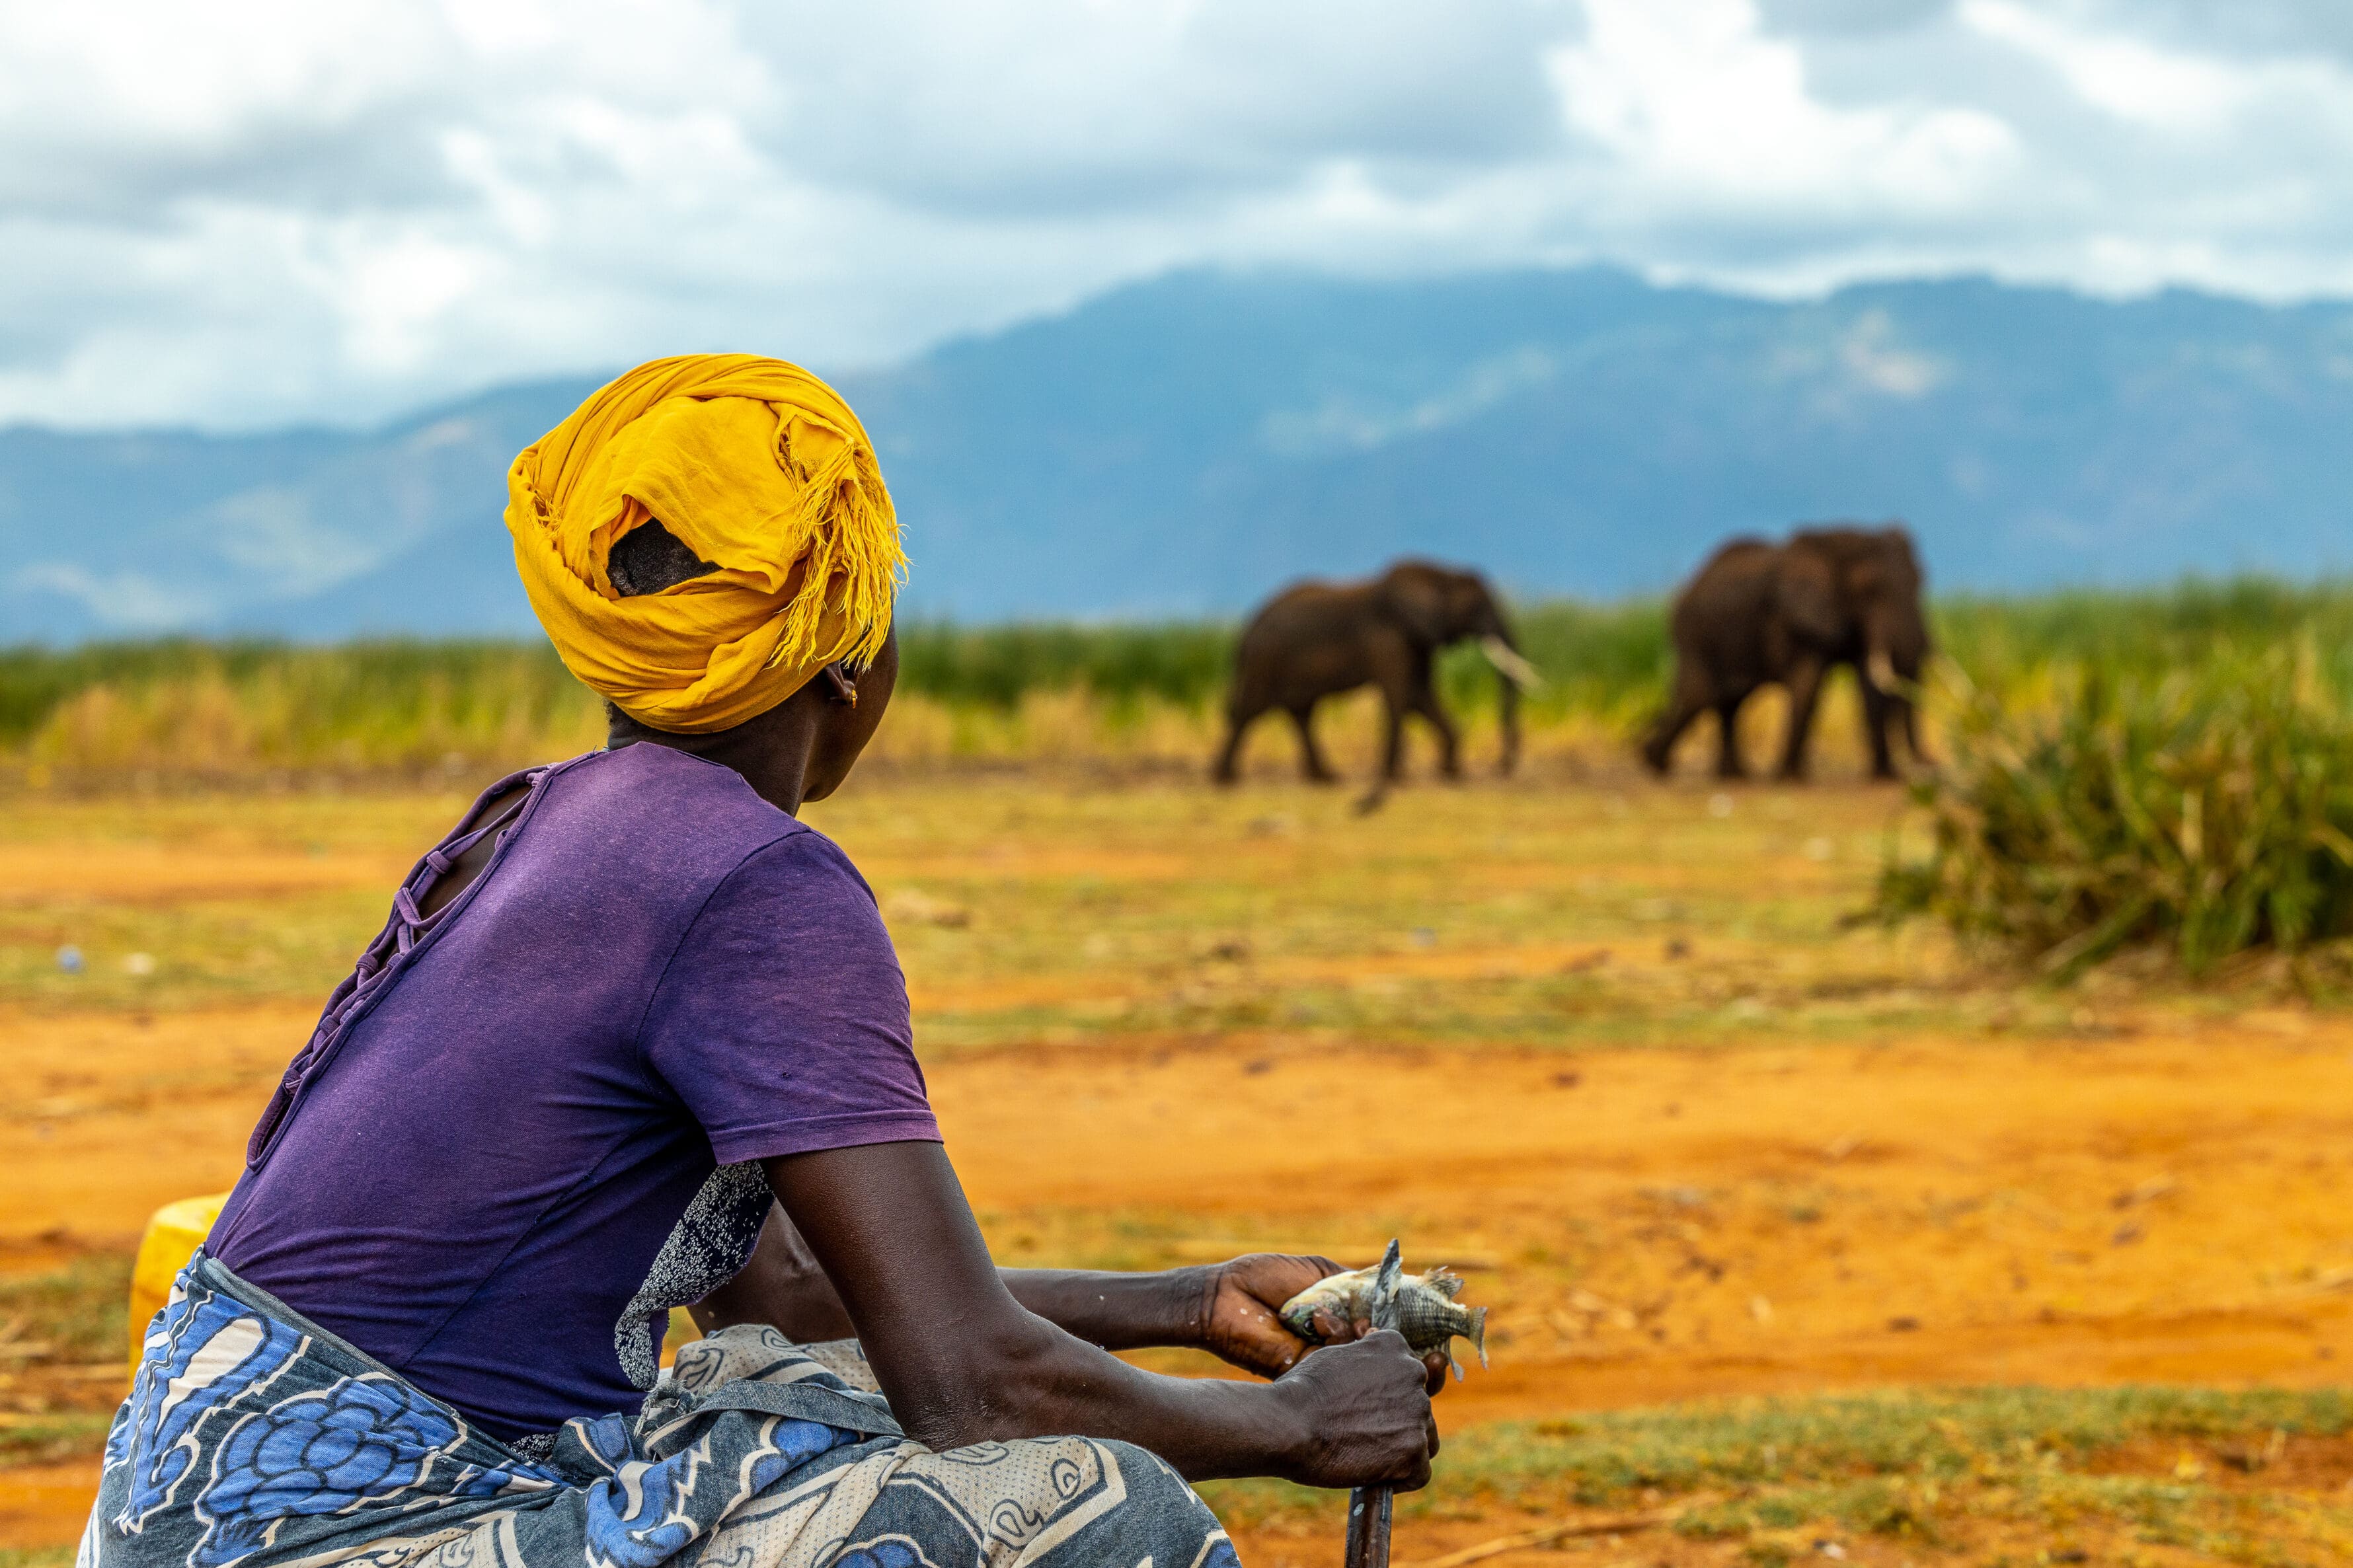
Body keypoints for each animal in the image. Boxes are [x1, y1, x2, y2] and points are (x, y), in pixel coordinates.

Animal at [1214, 557, 1543, 799]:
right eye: (1478, 607)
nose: (1503, 767)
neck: (1439, 571)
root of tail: (1247, 628)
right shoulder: (1388, 640)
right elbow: (1401, 695)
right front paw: (1395, 778)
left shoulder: (1417, 643)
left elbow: (1420, 696)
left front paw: (1451, 772)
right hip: (1265, 660)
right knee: (1250, 710)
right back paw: (1224, 779)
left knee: (1301, 713)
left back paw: (1326, 779)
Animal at [1637, 524, 1929, 780]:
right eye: (1869, 589)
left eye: (1921, 580)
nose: (1927, 763)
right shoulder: (1794, 620)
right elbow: (1807, 687)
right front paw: (1791, 777)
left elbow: (1867, 685)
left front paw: (1885, 776)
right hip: (1693, 632)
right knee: (1700, 695)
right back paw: (1657, 763)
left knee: (1730, 702)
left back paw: (1734, 775)